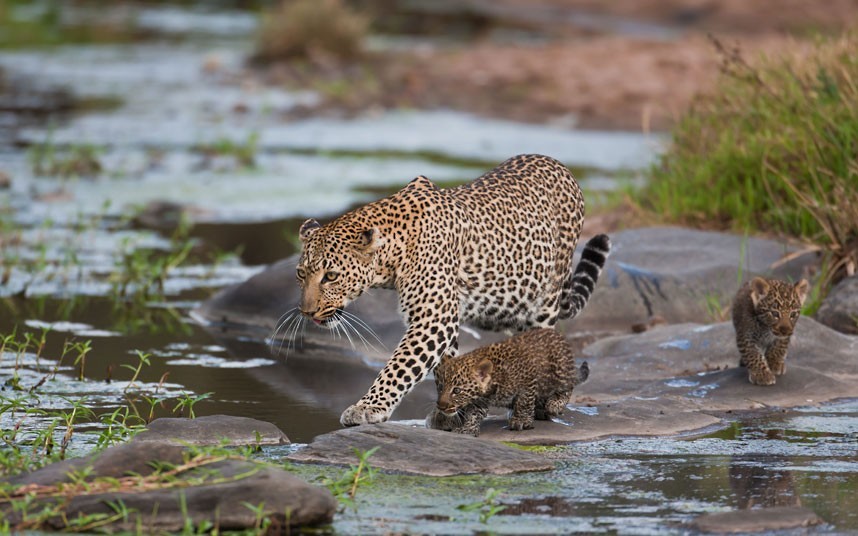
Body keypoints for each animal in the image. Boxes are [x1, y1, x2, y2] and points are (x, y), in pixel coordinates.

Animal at [294, 153, 608, 426]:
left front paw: (367, 408)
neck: (392, 255)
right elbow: (445, 367)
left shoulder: (433, 320)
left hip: (545, 298)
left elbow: (398, 368)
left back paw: (552, 401)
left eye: (331, 276)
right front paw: (449, 413)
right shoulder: (443, 321)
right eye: (301, 274)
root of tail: (558, 164)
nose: (307, 312)